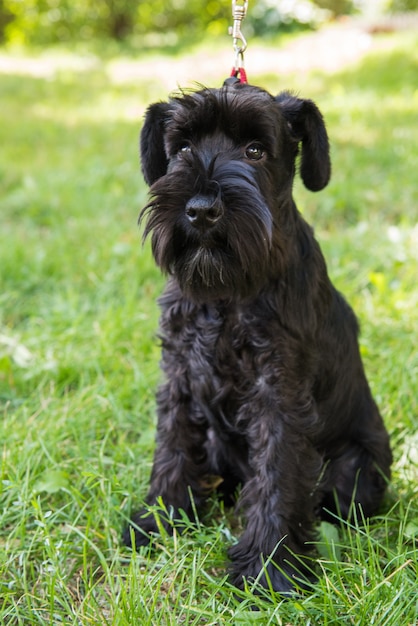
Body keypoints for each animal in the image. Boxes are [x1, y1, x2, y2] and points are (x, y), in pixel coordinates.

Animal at [123, 81, 392, 588]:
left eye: (255, 150)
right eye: (182, 148)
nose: (201, 210)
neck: (227, 293)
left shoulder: (278, 392)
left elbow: (278, 474)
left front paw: (269, 567)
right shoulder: (180, 376)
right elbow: (172, 449)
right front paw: (158, 520)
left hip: (356, 468)